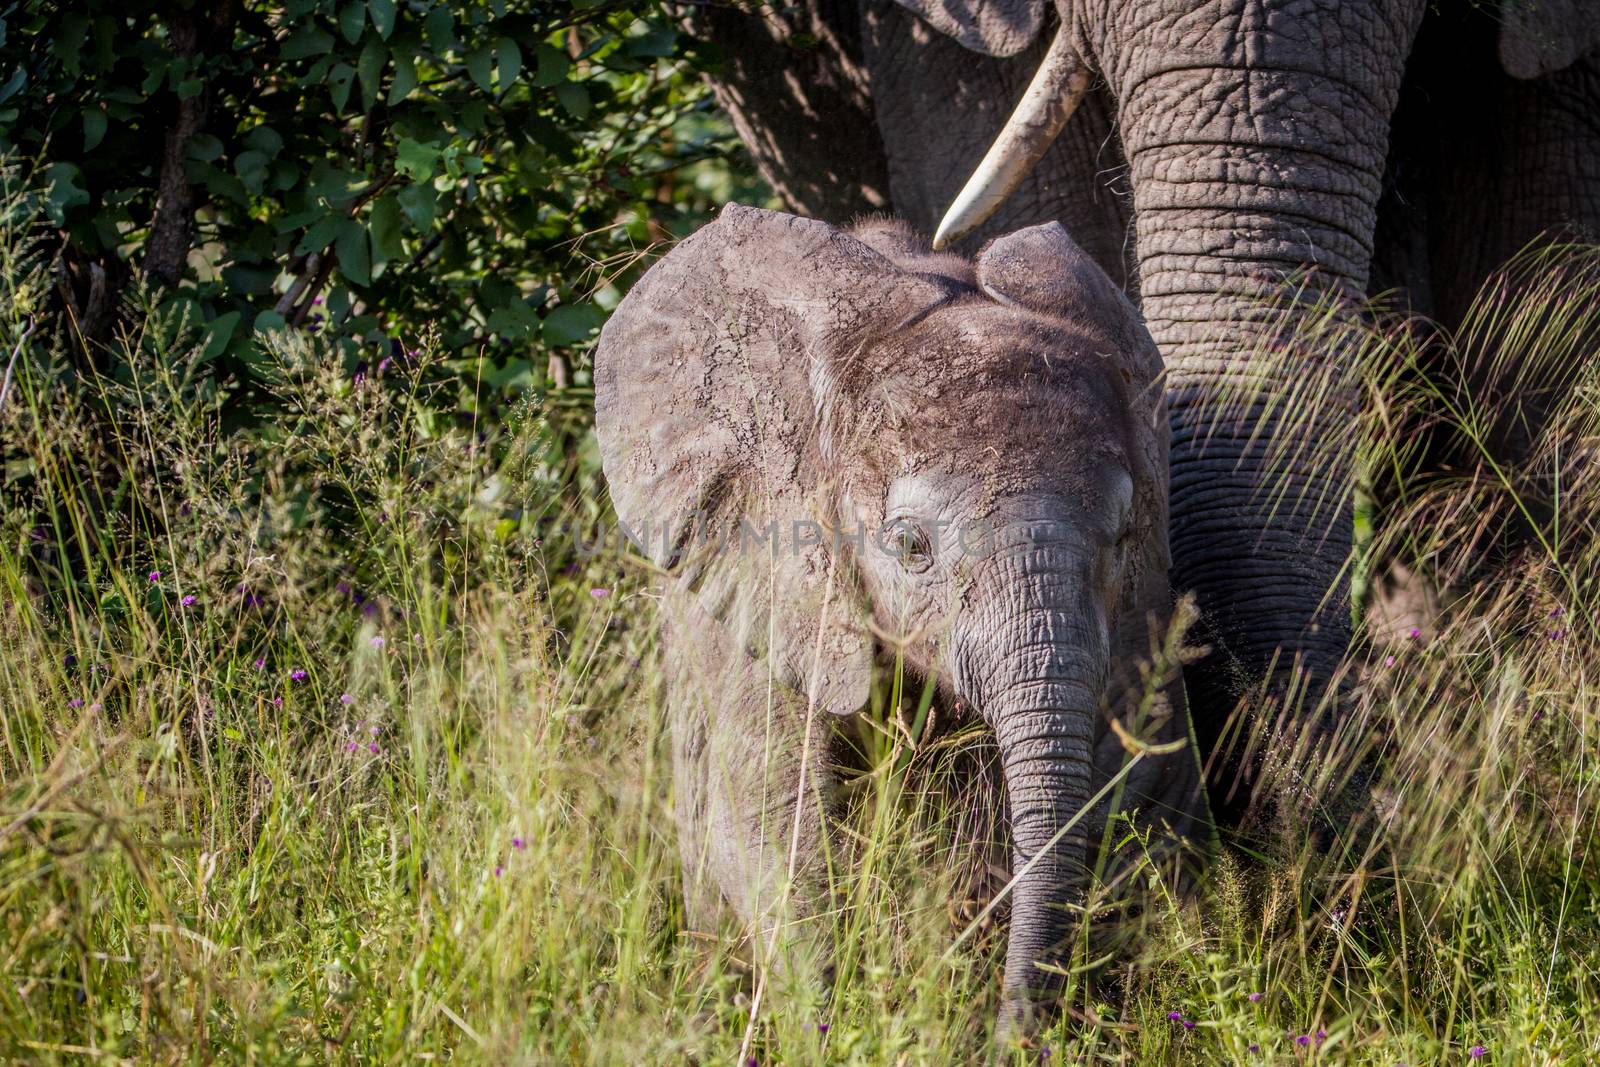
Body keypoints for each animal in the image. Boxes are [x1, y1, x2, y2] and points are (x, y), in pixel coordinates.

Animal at [595, 204, 1203, 1030]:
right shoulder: (776, 579)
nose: (1011, 1037)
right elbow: (767, 817)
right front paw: (835, 1026)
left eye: (1122, 537)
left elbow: (1143, 785)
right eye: (912, 546)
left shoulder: (1144, 604)